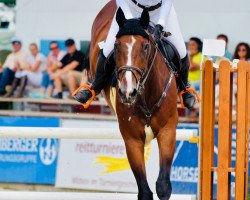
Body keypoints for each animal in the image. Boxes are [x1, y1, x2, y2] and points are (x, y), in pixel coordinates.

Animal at [89, 0, 177, 199]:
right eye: (117, 46)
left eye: (145, 47)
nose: (128, 92)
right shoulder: (132, 139)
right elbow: (144, 191)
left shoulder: (168, 131)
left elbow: (163, 186)